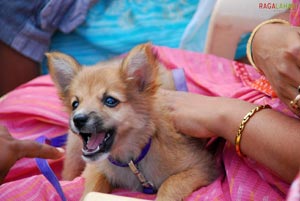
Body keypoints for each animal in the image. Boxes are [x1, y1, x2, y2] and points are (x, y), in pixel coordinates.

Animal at [47, 44, 217, 201]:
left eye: (110, 101)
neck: (131, 161)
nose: (78, 119)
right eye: (75, 104)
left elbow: (170, 183)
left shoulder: (203, 167)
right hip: (73, 156)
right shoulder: (96, 168)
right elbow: (93, 186)